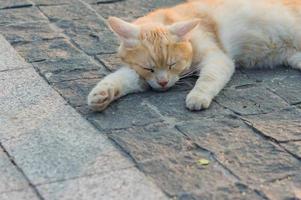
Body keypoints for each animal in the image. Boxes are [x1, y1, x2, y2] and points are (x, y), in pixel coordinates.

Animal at [86, 0, 300, 111]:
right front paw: (101, 94)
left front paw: (197, 96)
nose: (163, 83)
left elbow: (208, 79)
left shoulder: (217, 59)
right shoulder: (140, 76)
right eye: (149, 68)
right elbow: (118, 78)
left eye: (172, 64)